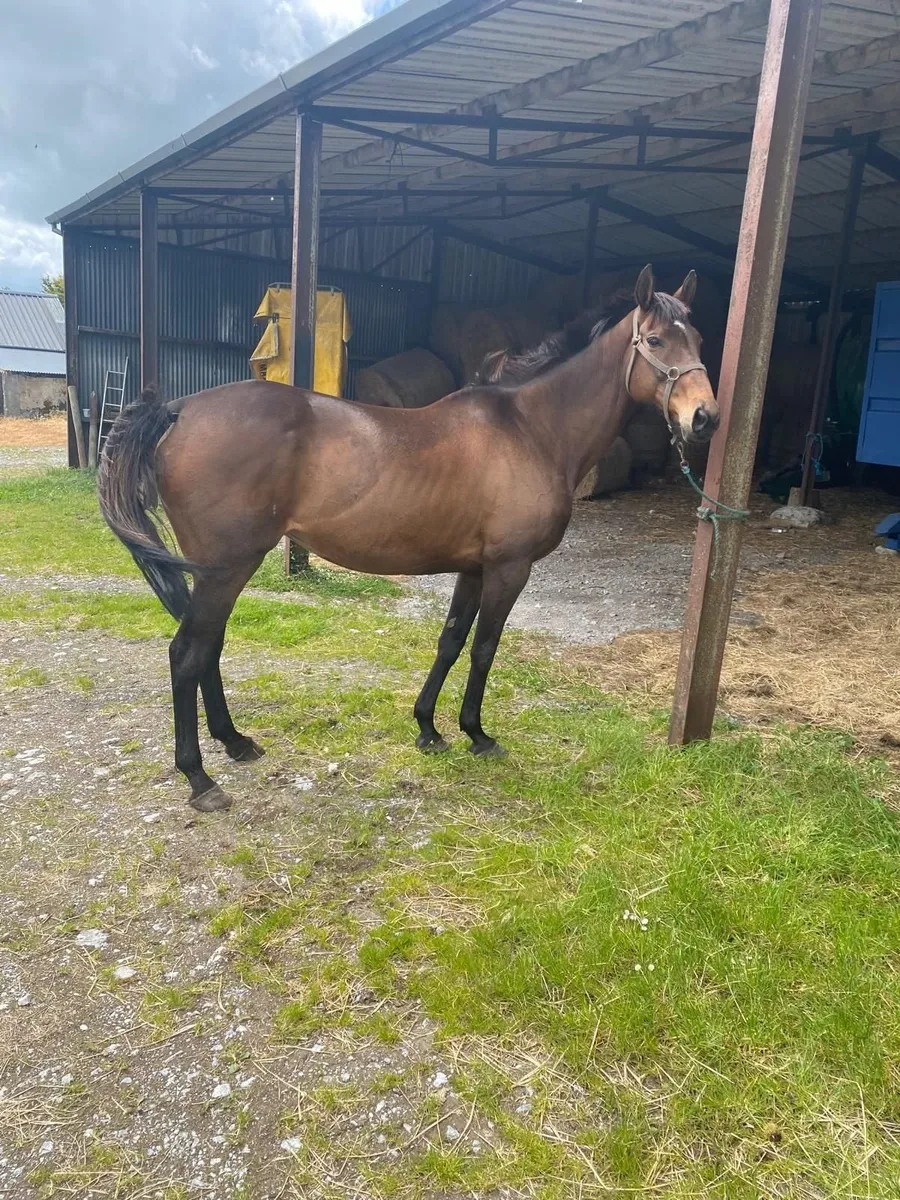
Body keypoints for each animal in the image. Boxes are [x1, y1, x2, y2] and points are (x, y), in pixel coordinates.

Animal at [98, 264, 718, 813]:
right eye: (656, 340)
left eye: (699, 338)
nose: (705, 418)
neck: (530, 429)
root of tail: (178, 409)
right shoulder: (510, 567)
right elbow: (485, 647)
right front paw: (478, 734)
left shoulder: (474, 567)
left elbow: (451, 641)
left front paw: (429, 728)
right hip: (227, 566)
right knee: (188, 654)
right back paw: (200, 778)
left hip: (217, 571)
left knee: (209, 648)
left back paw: (236, 742)